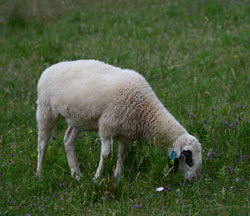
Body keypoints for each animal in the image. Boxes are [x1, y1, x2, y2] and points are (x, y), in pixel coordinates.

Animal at [36, 59, 202, 182]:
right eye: (188, 156)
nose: (194, 179)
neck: (146, 109)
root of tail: (48, 69)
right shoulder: (106, 128)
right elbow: (106, 154)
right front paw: (97, 177)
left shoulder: (125, 132)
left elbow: (122, 153)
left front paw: (118, 176)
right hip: (46, 110)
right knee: (42, 144)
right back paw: (39, 173)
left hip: (78, 119)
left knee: (68, 140)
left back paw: (76, 174)